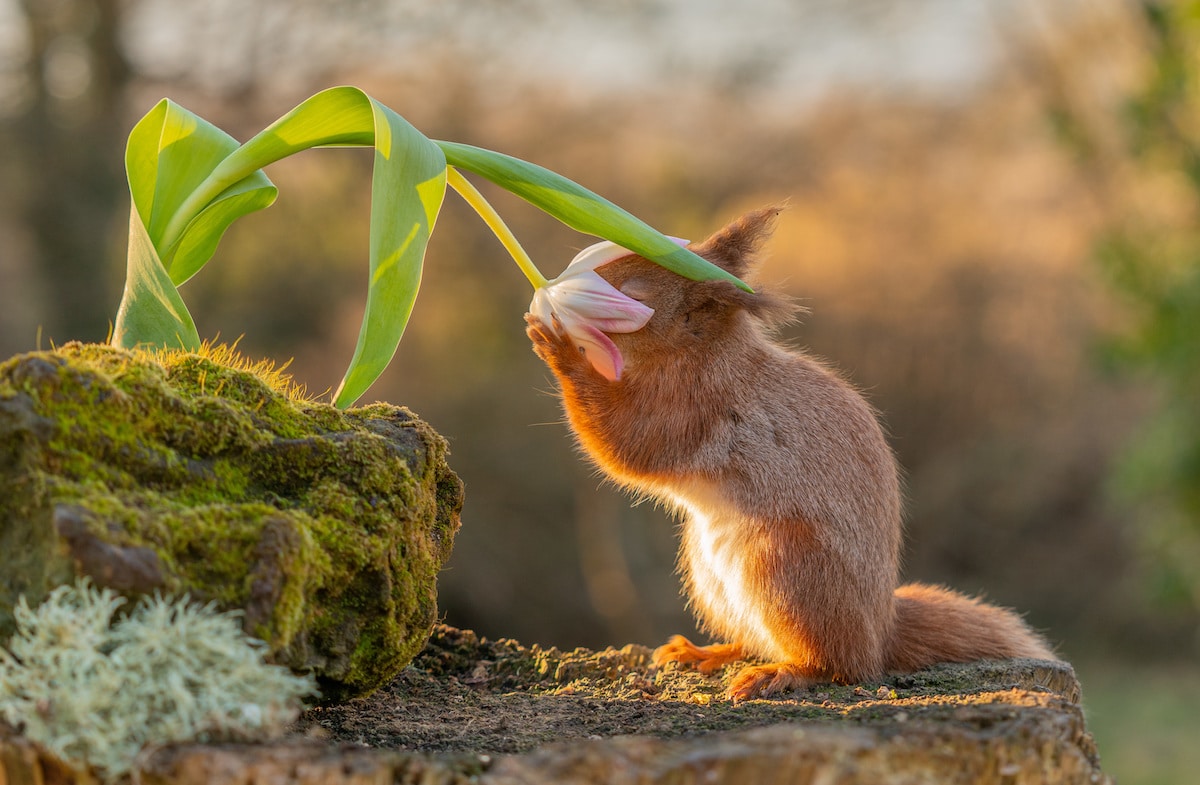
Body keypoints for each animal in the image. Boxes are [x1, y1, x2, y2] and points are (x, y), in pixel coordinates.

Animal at [530, 207, 1056, 700]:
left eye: (633, 293)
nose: (556, 284)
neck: (702, 354)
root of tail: (878, 634)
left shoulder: (692, 408)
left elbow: (626, 445)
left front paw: (559, 348)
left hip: (785, 569)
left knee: (835, 663)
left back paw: (784, 672)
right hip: (709, 575)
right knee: (755, 639)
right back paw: (707, 652)